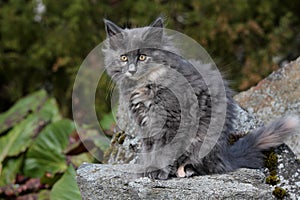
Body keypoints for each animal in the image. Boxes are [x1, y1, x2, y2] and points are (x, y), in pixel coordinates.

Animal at [102, 17, 298, 180]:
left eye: (142, 57)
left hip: (204, 140)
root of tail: (225, 156)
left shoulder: (173, 120)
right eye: (123, 58)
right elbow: (150, 150)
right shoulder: (144, 123)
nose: (132, 70)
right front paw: (147, 169)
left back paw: (185, 171)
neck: (146, 84)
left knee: (204, 166)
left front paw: (157, 171)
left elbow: (164, 151)